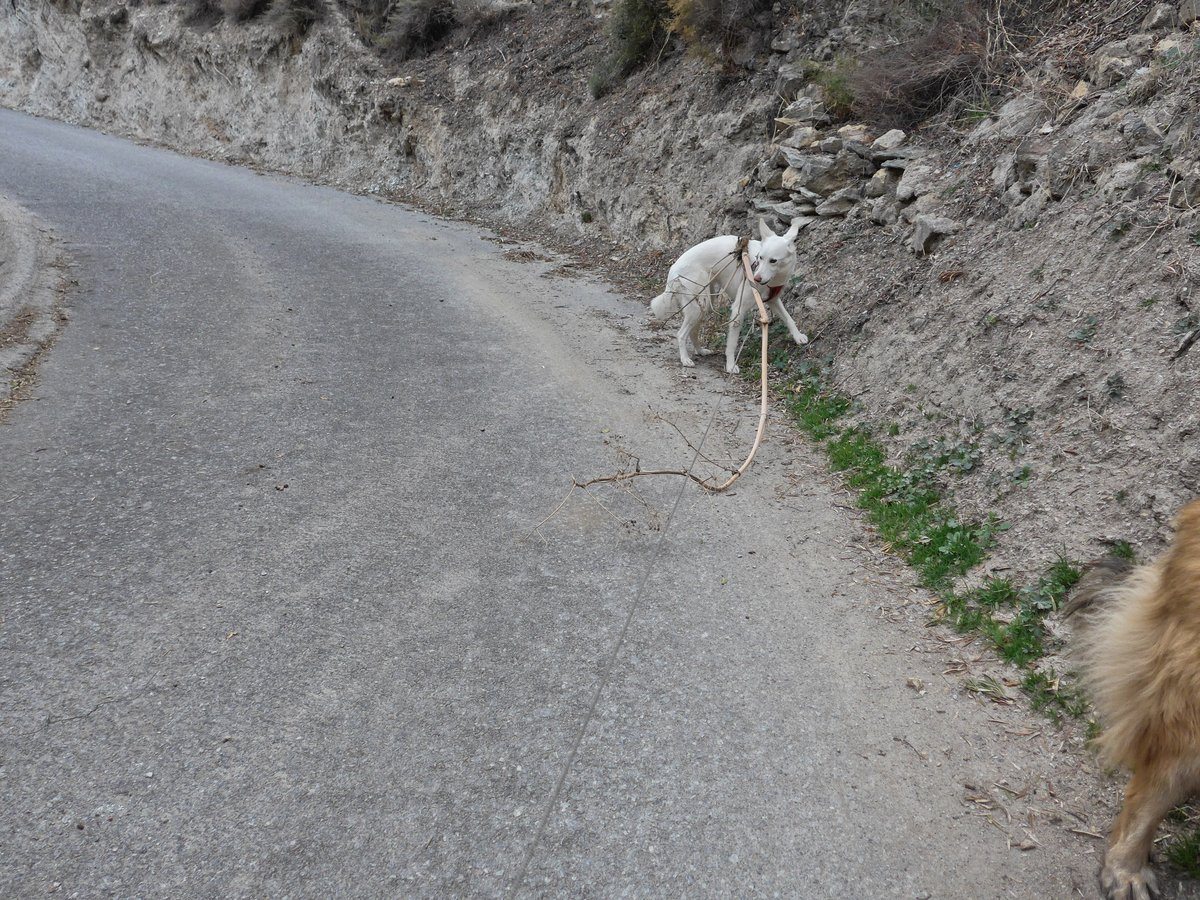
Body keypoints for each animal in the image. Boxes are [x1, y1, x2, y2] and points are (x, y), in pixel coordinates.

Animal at [652, 218, 811, 374]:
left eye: (773, 261)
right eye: (760, 258)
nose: (756, 278)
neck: (774, 279)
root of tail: (673, 268)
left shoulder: (773, 300)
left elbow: (789, 318)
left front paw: (798, 336)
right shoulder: (738, 310)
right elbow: (732, 344)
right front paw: (730, 366)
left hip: (705, 304)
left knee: (693, 331)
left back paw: (700, 351)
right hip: (698, 305)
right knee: (681, 334)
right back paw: (685, 359)